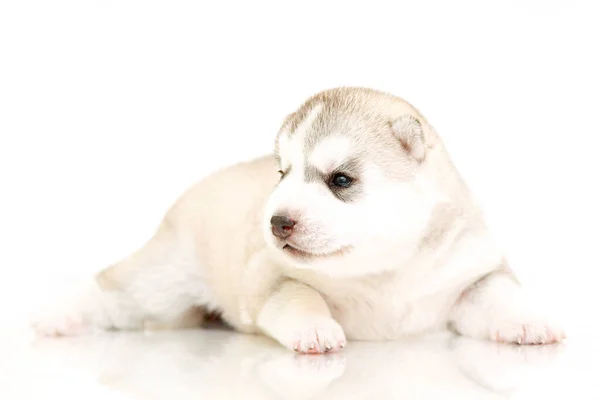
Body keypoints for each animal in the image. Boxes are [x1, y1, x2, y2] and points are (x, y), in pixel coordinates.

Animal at [32, 86, 564, 354]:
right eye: (282, 173)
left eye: (341, 180)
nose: (276, 223)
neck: (386, 272)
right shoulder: (271, 277)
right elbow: (299, 297)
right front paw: (315, 330)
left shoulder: (470, 272)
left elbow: (498, 294)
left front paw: (528, 323)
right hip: (158, 287)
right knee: (109, 289)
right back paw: (56, 318)